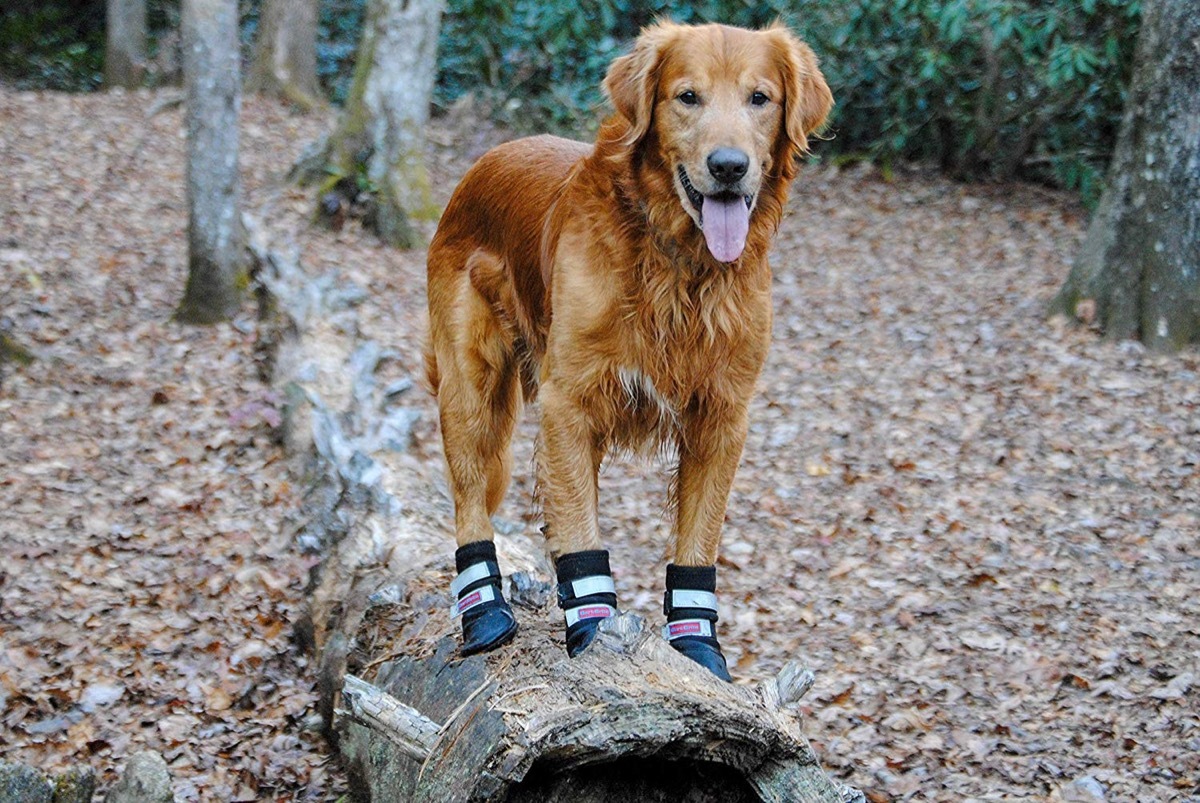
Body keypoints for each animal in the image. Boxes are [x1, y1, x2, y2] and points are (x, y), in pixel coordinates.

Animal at [427, 21, 830, 681]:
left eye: (760, 99)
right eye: (687, 97)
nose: (728, 166)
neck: (681, 267)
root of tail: (488, 157)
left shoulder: (721, 416)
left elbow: (697, 540)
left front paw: (698, 650)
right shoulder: (568, 403)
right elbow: (583, 535)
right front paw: (593, 636)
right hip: (470, 385)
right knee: (470, 500)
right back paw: (483, 613)